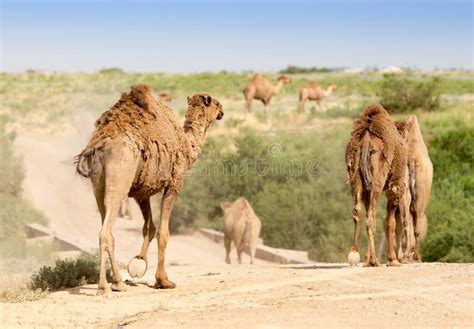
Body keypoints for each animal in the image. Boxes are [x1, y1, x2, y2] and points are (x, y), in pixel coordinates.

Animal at [76, 84, 224, 292]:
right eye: (216, 104)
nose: (222, 111)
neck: (187, 146)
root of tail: (99, 144)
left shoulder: (142, 190)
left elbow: (149, 227)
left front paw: (139, 263)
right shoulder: (174, 183)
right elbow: (163, 231)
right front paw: (163, 280)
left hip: (98, 185)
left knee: (105, 225)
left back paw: (115, 282)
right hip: (119, 180)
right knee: (106, 231)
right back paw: (109, 285)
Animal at [344, 104, 408, 266]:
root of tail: (366, 138)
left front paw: (366, 258)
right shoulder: (394, 187)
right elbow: (390, 223)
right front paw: (392, 260)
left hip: (356, 181)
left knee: (358, 213)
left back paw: (355, 254)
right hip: (377, 184)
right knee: (371, 219)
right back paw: (374, 261)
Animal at [392, 115, 434, 262]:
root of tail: (412, 161)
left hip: (403, 193)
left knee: (404, 221)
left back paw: (403, 256)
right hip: (420, 200)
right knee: (417, 224)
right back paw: (415, 256)